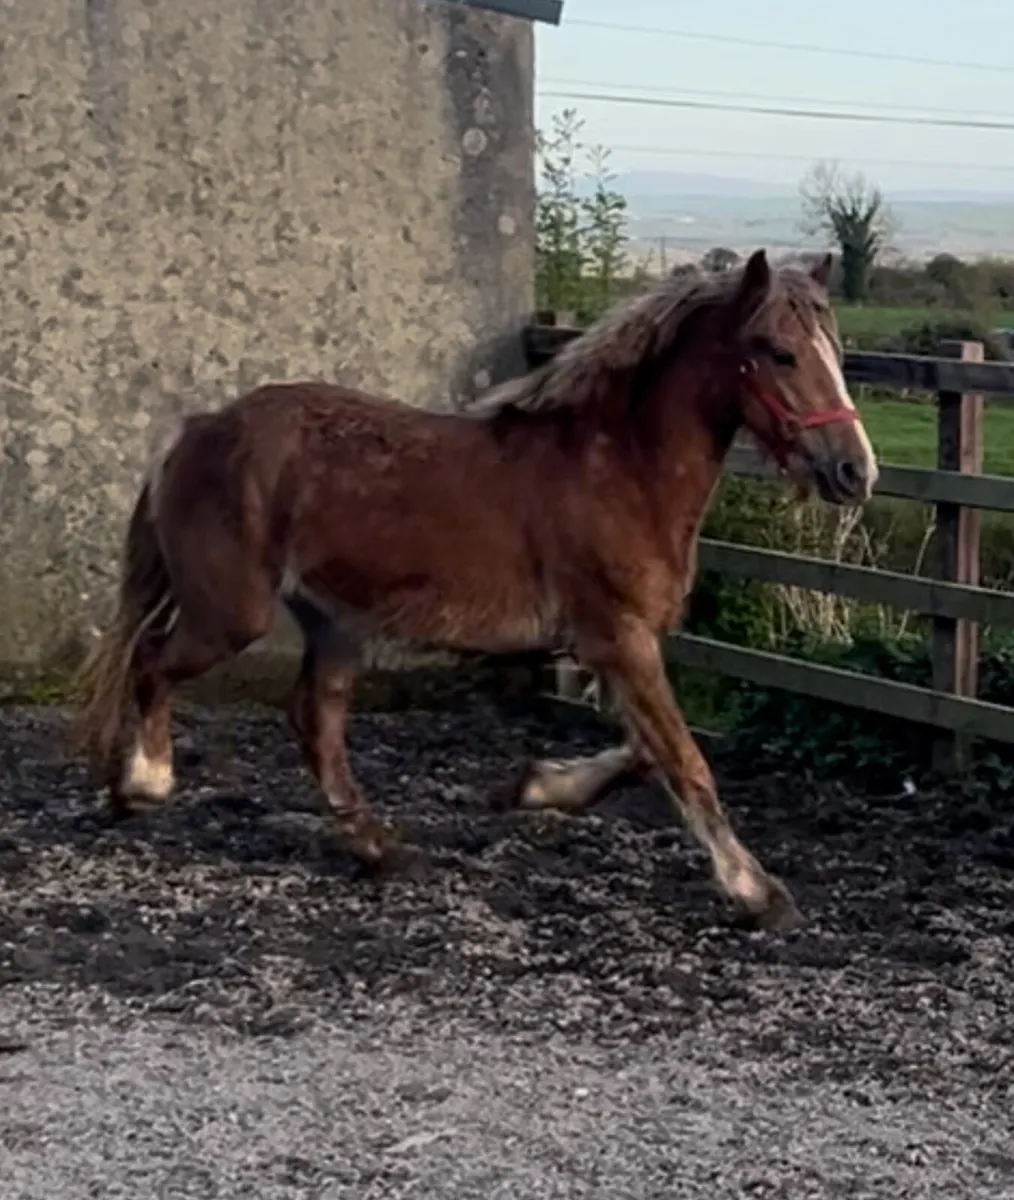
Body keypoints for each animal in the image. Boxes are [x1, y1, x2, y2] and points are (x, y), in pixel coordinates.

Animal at [70, 248, 877, 932]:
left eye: (835, 353)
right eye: (778, 351)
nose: (854, 471)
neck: (618, 469)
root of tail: (196, 430)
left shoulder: (618, 644)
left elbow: (648, 751)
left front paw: (536, 787)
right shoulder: (617, 637)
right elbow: (684, 760)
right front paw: (756, 892)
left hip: (333, 621)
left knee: (313, 720)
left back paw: (378, 847)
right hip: (230, 614)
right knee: (152, 661)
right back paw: (143, 783)